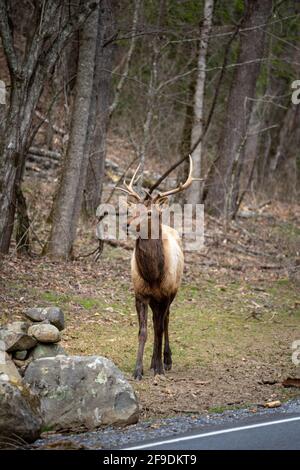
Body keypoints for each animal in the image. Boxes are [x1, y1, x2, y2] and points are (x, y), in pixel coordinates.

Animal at [118, 156, 196, 380]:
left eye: (150, 213)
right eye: (132, 210)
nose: (127, 224)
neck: (153, 275)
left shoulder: (166, 294)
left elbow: (160, 329)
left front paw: (160, 367)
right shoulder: (140, 294)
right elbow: (143, 331)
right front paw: (138, 370)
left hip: (172, 292)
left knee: (166, 321)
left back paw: (165, 361)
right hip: (154, 300)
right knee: (155, 323)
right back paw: (153, 362)